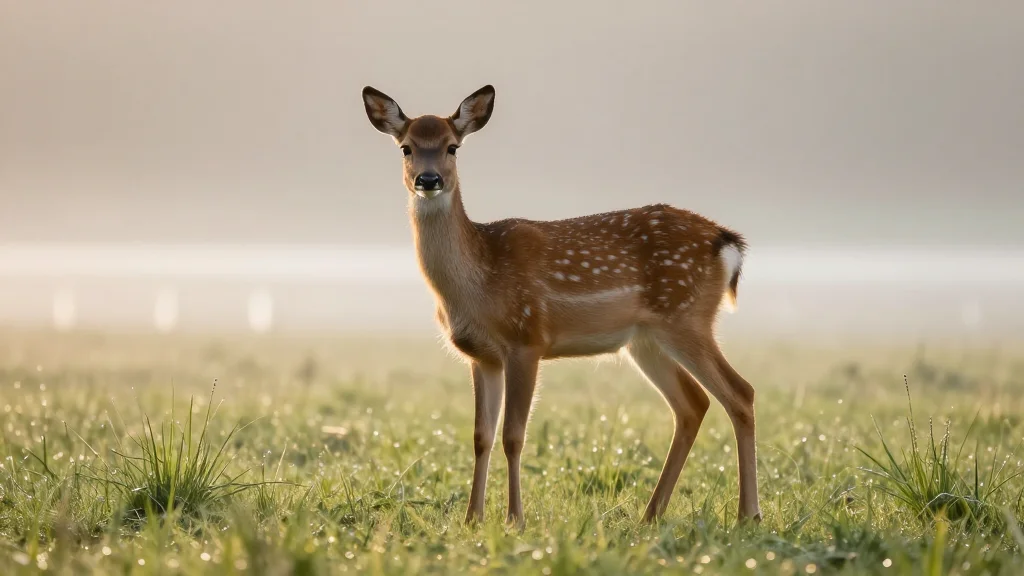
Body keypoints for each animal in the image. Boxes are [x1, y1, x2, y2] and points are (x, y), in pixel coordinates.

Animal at [361, 84, 761, 529]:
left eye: (452, 147)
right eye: (406, 147)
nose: (428, 180)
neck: (477, 282)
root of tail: (726, 242)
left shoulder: (527, 339)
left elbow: (513, 435)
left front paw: (514, 519)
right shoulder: (481, 356)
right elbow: (481, 436)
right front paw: (472, 519)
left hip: (686, 316)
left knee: (740, 392)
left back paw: (748, 514)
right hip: (646, 340)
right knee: (693, 404)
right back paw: (650, 515)